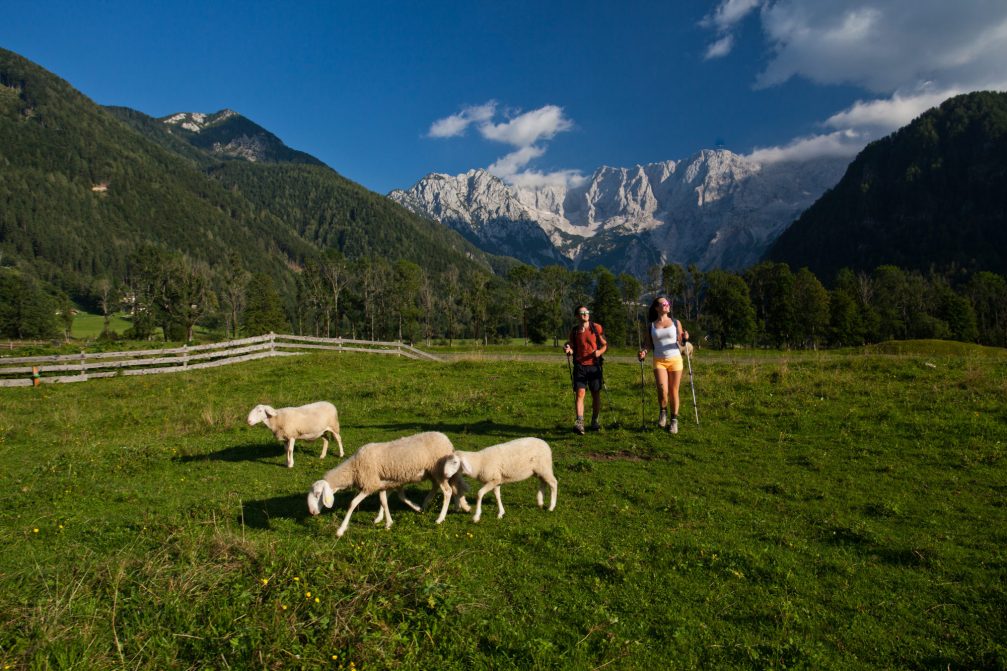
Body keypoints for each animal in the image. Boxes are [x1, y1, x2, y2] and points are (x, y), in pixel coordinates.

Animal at [304, 431, 465, 535]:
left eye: (317, 494)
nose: (311, 512)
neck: (353, 468)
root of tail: (447, 441)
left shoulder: (370, 484)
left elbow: (353, 503)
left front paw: (341, 529)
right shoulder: (381, 483)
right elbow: (384, 501)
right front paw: (386, 521)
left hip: (439, 470)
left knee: (447, 491)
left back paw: (440, 518)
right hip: (433, 472)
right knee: (438, 487)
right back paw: (426, 505)